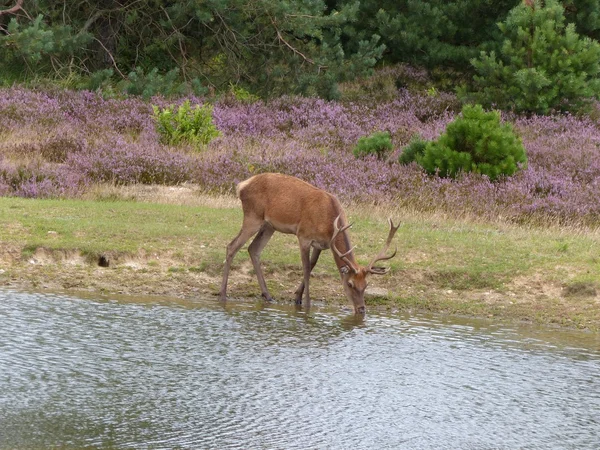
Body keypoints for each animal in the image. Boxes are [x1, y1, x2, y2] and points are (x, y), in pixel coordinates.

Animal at [218, 172, 400, 312]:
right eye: (350, 284)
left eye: (366, 285)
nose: (361, 309)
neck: (328, 224)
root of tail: (241, 185)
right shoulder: (303, 236)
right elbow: (306, 268)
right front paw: (306, 304)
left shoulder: (322, 244)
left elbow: (312, 265)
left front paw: (297, 297)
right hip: (252, 217)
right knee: (232, 246)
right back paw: (223, 293)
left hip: (269, 225)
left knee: (253, 249)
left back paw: (267, 295)